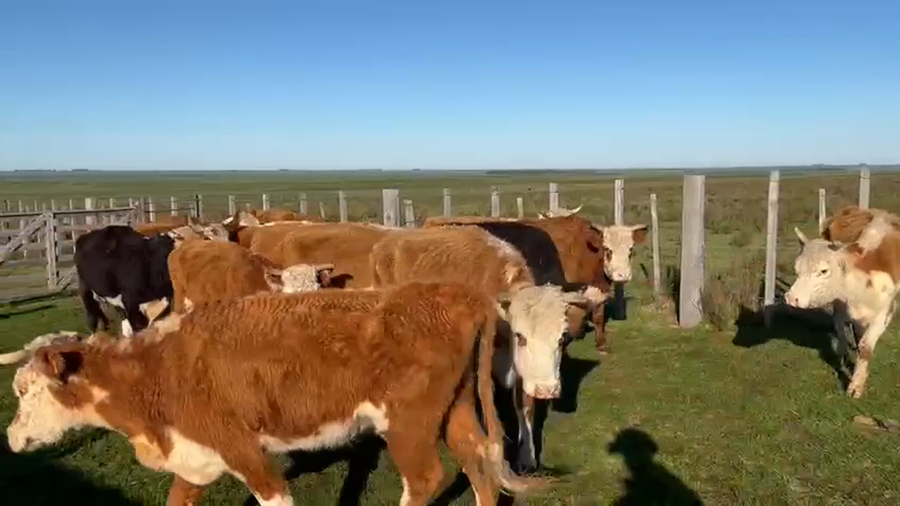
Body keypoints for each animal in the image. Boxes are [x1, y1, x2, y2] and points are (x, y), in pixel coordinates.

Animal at [6, 282, 551, 505]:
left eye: (26, 392)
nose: (11, 438)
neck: (158, 371)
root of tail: (458, 294)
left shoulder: (247, 454)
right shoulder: (195, 457)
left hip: (408, 424)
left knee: (426, 478)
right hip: (454, 410)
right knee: (479, 465)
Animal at [785, 212, 900, 398]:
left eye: (824, 271)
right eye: (797, 269)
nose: (791, 298)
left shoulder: (885, 312)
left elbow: (865, 347)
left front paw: (856, 385)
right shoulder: (841, 308)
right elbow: (842, 335)